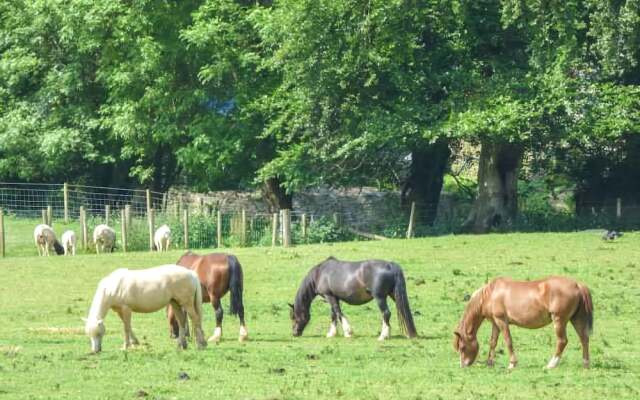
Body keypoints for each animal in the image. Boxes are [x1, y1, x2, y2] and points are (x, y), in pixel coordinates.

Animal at [288, 256, 418, 340]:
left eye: (293, 317)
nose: (294, 333)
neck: (320, 274)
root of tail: (390, 265)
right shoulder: (334, 297)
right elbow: (333, 314)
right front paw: (332, 334)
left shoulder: (329, 296)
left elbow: (338, 313)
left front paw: (348, 332)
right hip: (394, 295)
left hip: (380, 297)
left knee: (386, 313)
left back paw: (383, 336)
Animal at [452, 276, 592, 370]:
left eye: (462, 347)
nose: (463, 365)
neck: (490, 294)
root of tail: (577, 285)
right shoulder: (495, 323)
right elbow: (493, 342)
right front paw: (489, 363)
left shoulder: (501, 321)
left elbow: (508, 341)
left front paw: (512, 364)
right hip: (576, 319)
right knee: (584, 338)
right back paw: (585, 363)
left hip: (559, 320)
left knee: (562, 341)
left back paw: (551, 364)